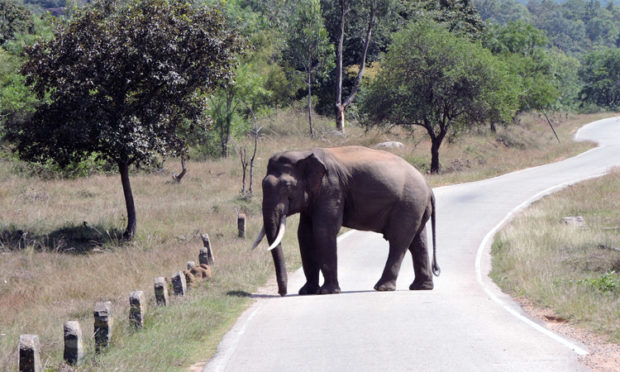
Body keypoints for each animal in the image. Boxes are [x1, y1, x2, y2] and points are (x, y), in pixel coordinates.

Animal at [249, 145, 438, 296]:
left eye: (287, 186)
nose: (282, 293)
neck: (305, 152)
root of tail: (429, 188)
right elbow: (304, 234)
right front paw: (307, 292)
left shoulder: (331, 188)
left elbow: (323, 231)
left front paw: (328, 292)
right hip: (415, 206)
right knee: (417, 241)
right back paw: (421, 287)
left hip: (408, 204)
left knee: (398, 241)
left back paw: (383, 288)